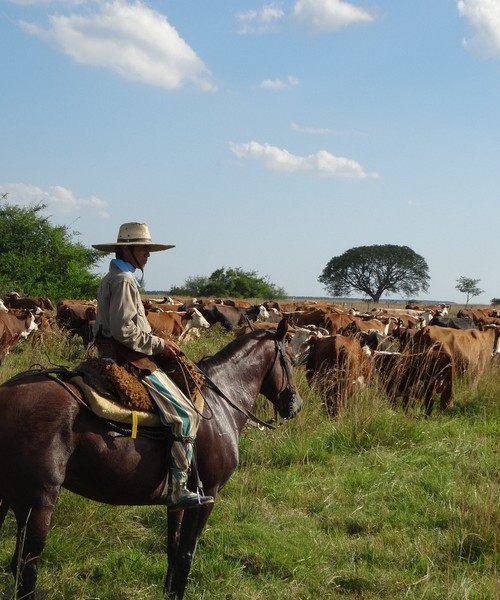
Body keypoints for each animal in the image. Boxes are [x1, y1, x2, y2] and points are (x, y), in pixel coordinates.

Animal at [0, 318, 300, 596]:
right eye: (292, 359)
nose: (295, 406)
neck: (220, 404)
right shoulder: (207, 496)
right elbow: (186, 556)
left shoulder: (177, 501)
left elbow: (173, 550)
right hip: (37, 503)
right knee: (26, 568)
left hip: (11, 498)